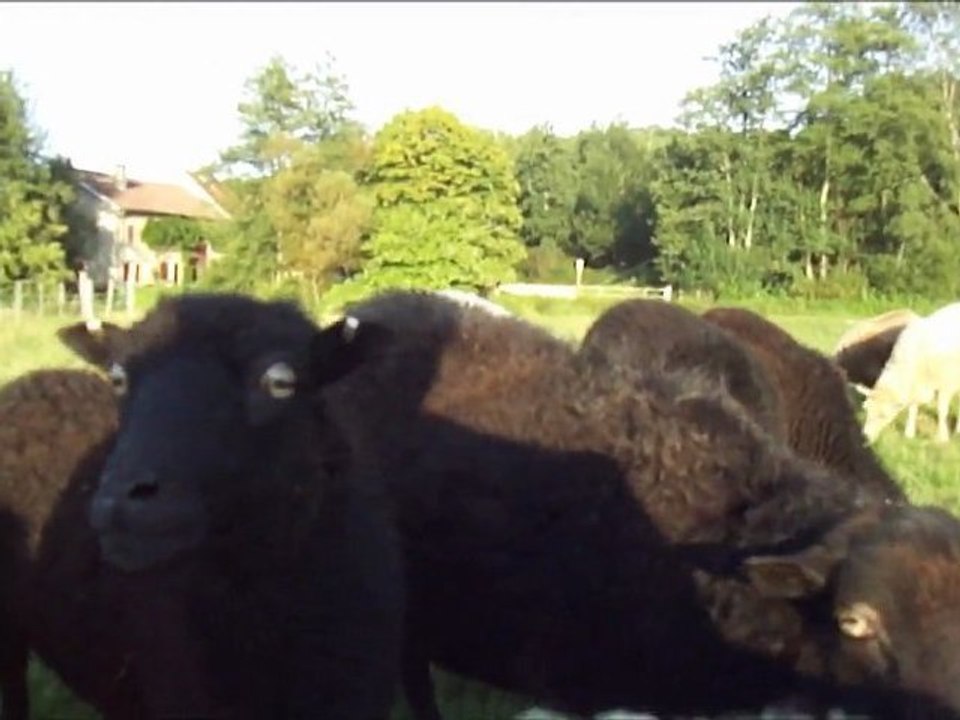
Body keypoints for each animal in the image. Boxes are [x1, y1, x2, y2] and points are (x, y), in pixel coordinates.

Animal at [860, 301, 960, 443]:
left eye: (883, 415)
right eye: (866, 410)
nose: (865, 437)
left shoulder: (946, 384)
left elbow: (942, 410)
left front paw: (941, 437)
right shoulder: (915, 385)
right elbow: (912, 407)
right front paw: (909, 433)